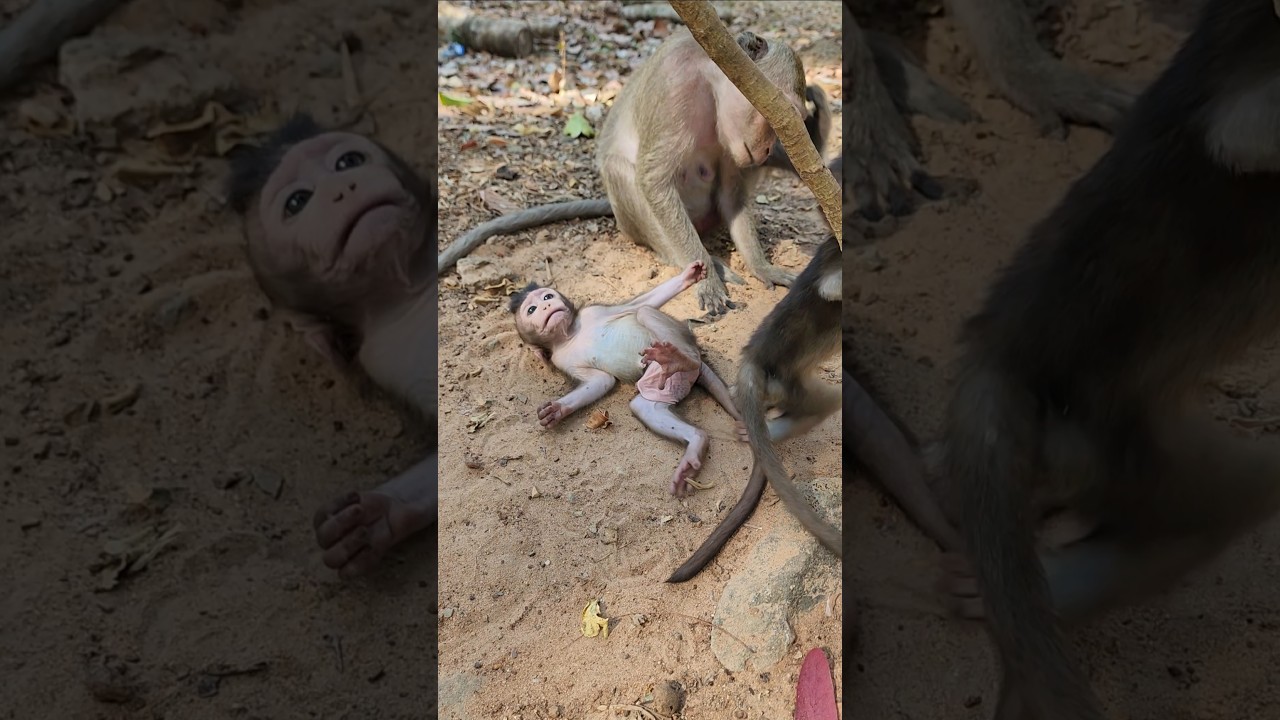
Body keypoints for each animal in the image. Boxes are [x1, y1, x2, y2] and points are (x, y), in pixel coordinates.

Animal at [226, 114, 437, 578]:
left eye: (348, 161)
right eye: (297, 202)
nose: (345, 188)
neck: (410, 282)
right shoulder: (383, 356)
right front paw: (384, 512)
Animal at [510, 260, 749, 496]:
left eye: (547, 297)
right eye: (531, 309)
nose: (546, 306)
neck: (569, 335)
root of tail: (695, 362)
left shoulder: (593, 312)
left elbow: (636, 305)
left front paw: (689, 276)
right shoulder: (561, 360)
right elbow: (601, 381)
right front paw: (557, 410)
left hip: (674, 345)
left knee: (644, 311)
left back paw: (681, 359)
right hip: (662, 379)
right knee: (644, 405)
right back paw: (695, 446)